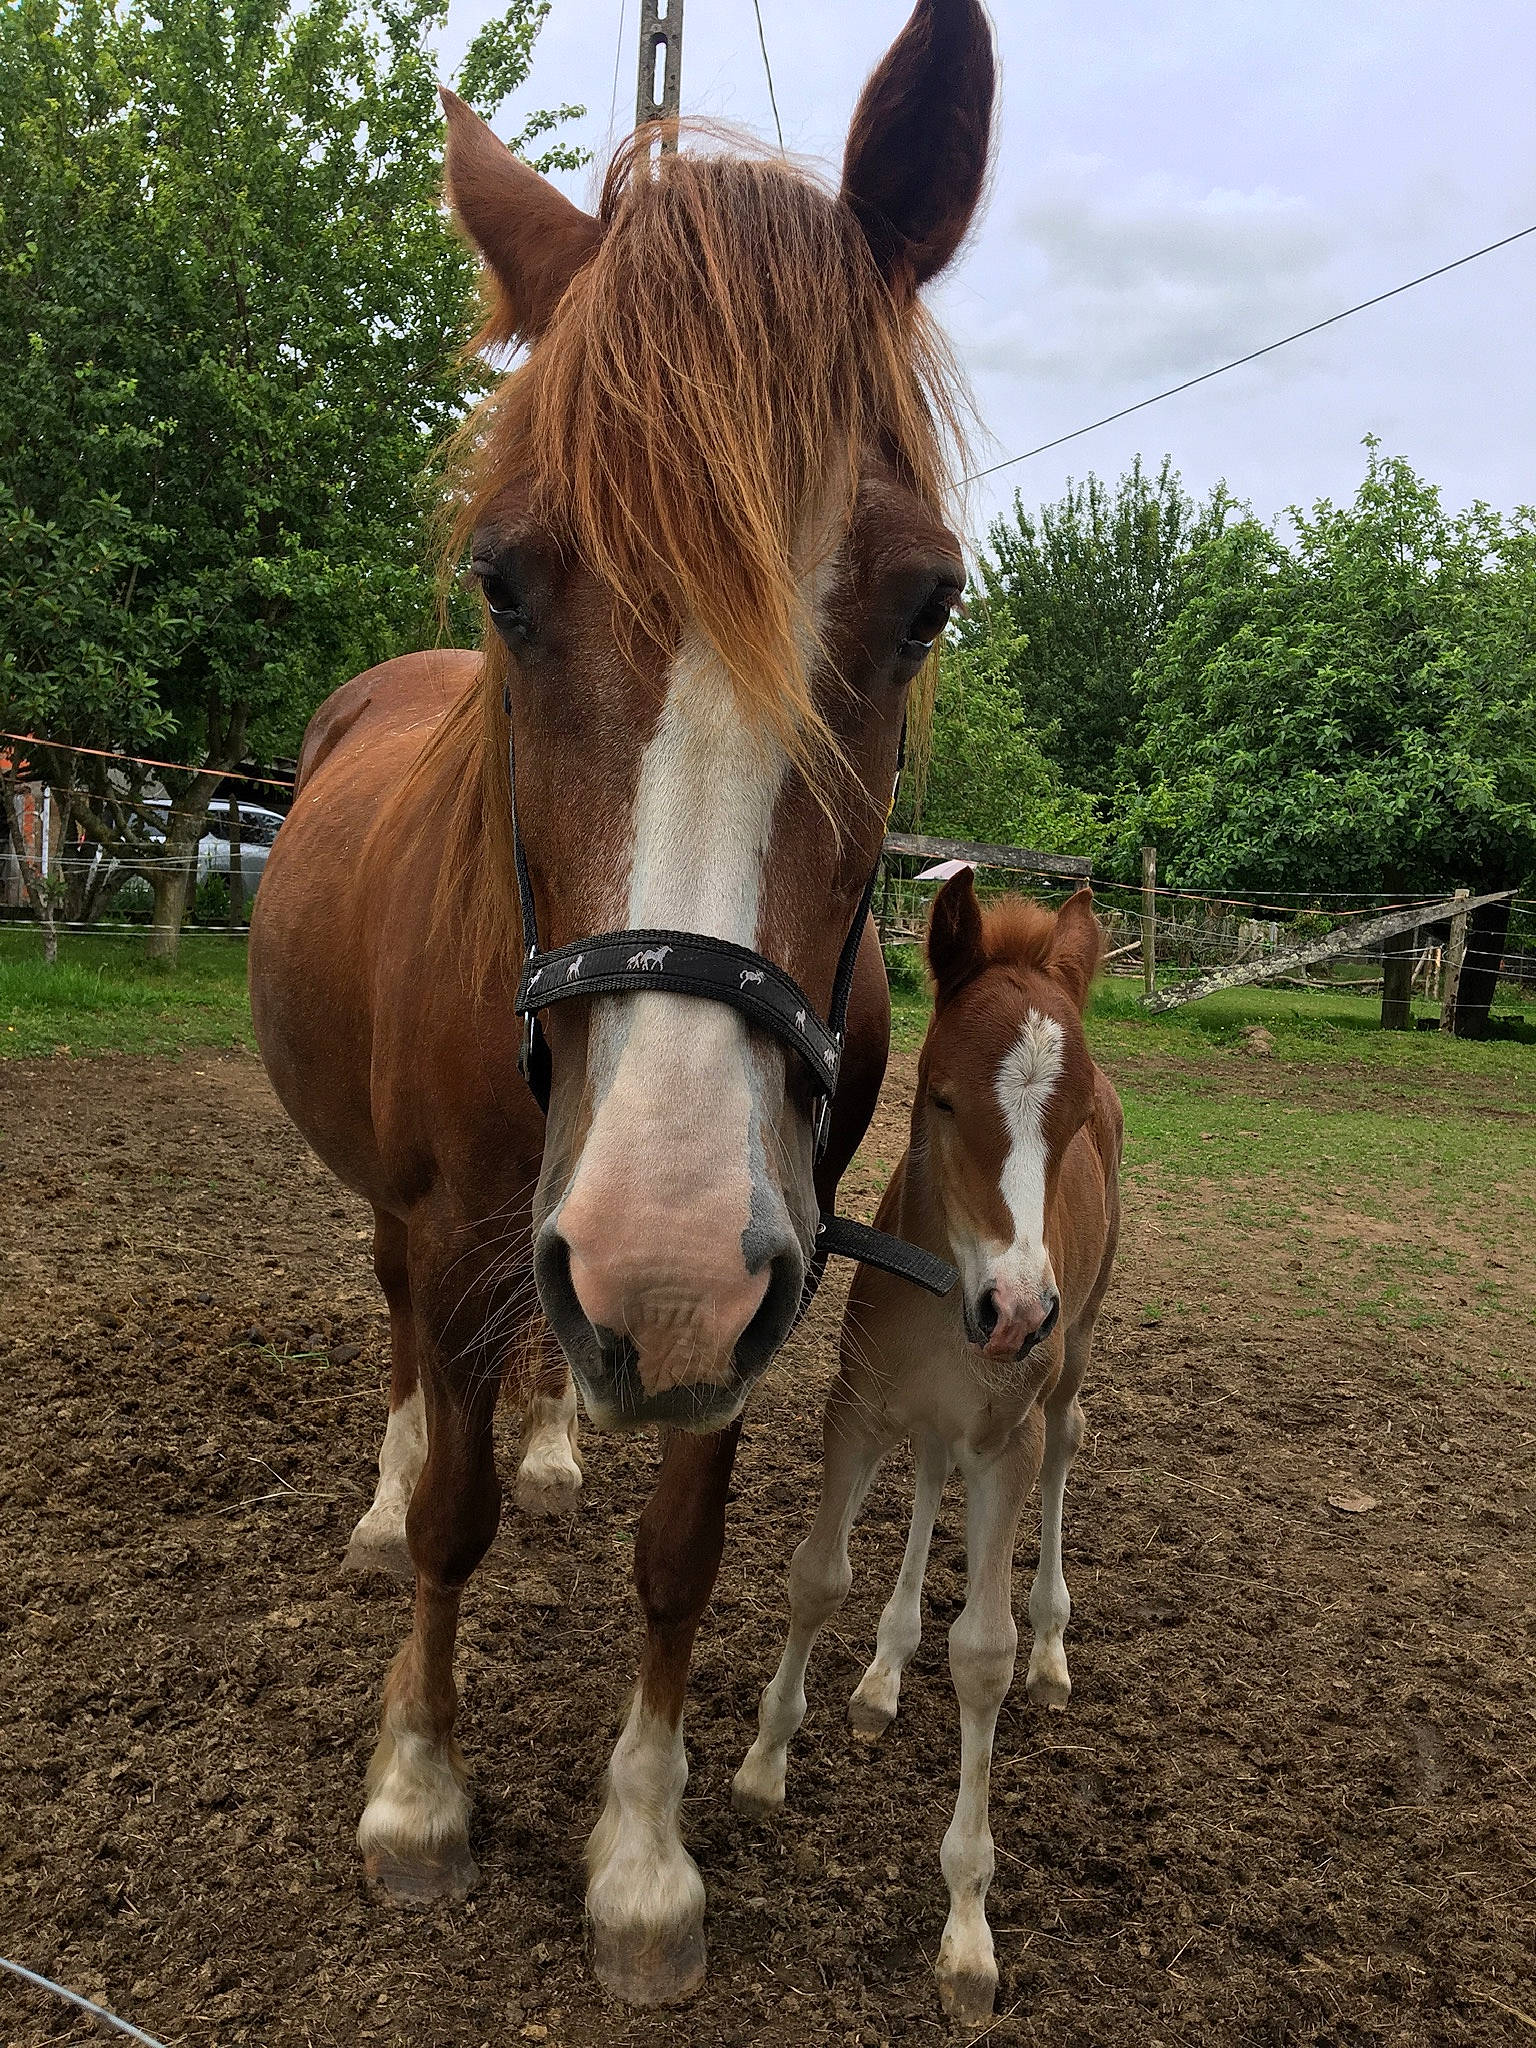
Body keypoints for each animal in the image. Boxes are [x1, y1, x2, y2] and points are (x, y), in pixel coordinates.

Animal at [246, 0, 995, 2008]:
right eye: (506, 581)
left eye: (924, 605)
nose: (650, 1261)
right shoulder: (460, 1226)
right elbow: (454, 1512)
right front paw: (418, 1792)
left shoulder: (763, 1261)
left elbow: (682, 1551)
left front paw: (647, 1857)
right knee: (412, 1373)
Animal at [732, 872, 1123, 2024]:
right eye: (942, 1096)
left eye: (1070, 1119)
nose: (1016, 1311)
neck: (949, 1281)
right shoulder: (858, 1411)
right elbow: (818, 1577)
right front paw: (765, 1763)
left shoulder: (1003, 1441)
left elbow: (981, 1656)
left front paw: (967, 1933)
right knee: (928, 1476)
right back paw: (880, 1676)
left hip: (1070, 1365)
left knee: (1064, 1449)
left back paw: (1053, 1650)